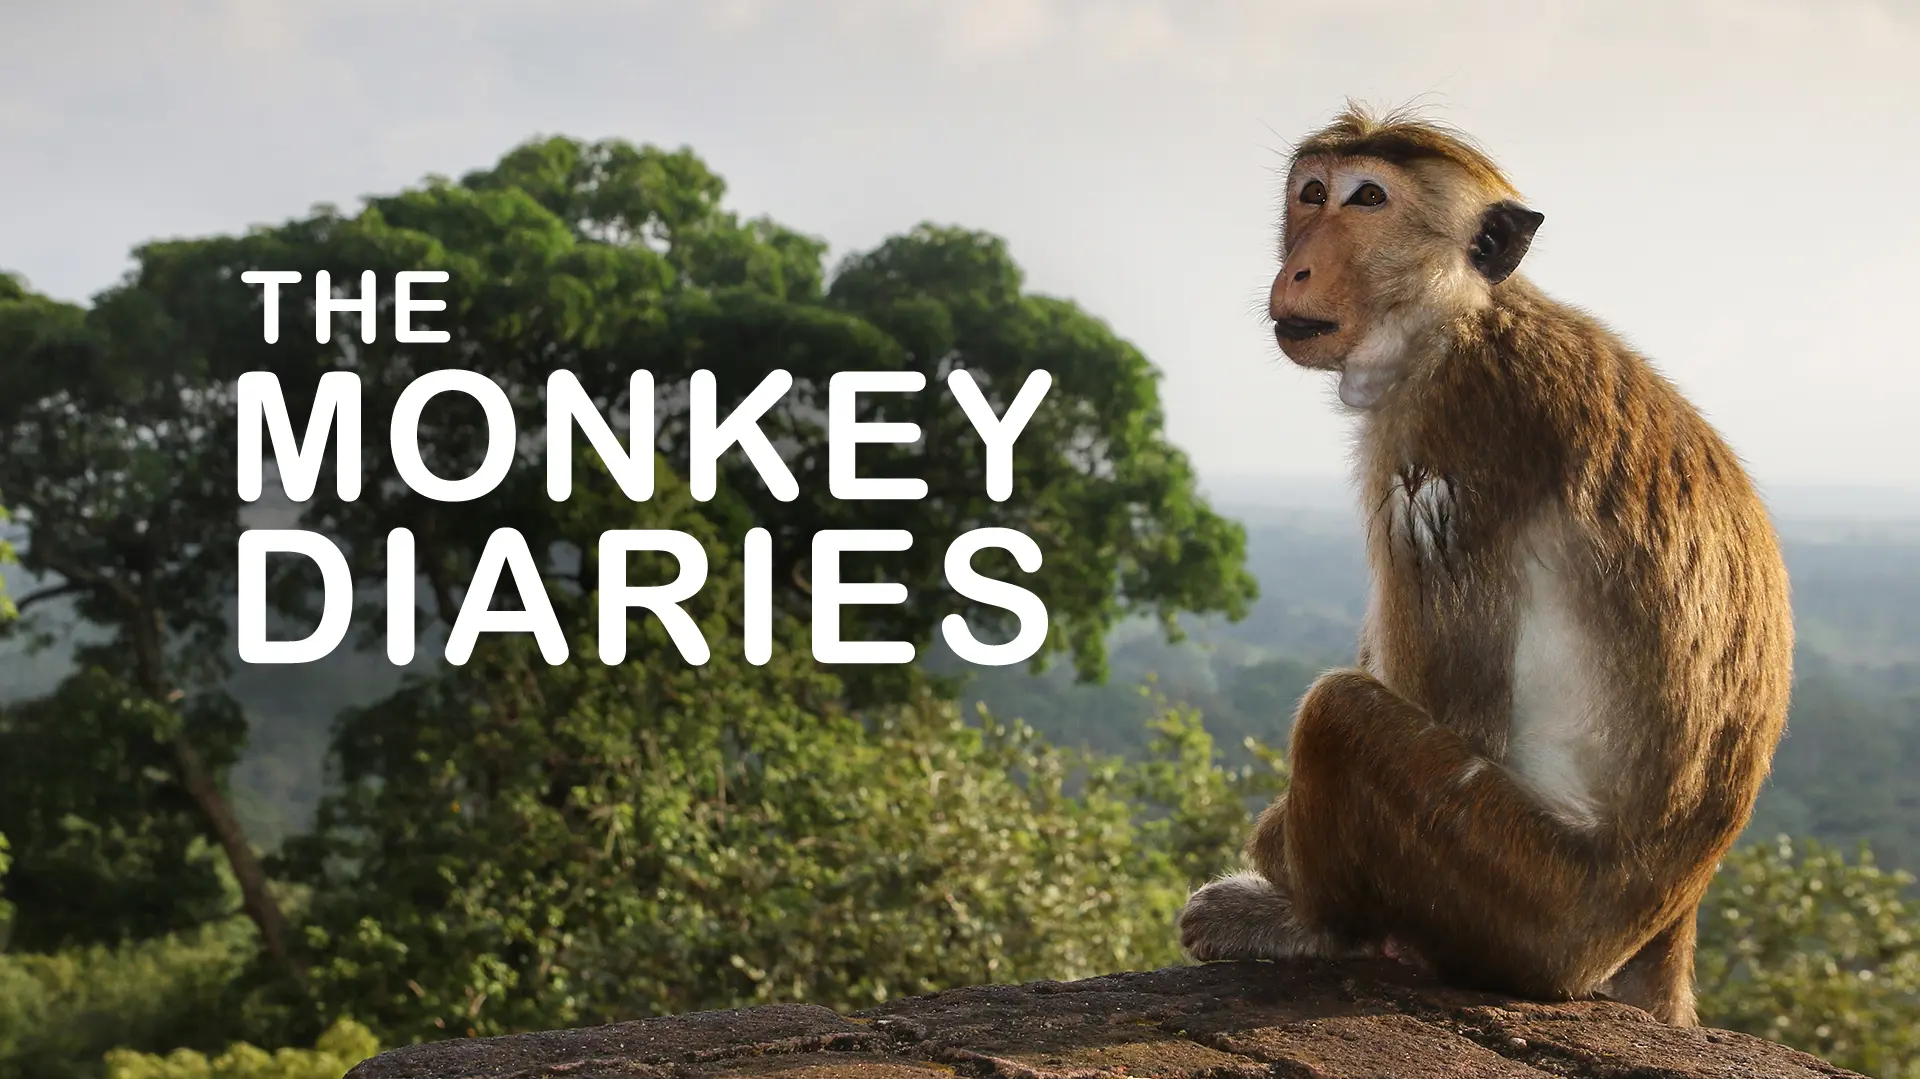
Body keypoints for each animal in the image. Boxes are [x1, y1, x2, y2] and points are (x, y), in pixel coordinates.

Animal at [1176, 104, 1793, 1028]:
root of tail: (1661, 928)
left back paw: (1312, 928)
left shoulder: (1444, 433)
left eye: (1369, 198)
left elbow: (1455, 710)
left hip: (1511, 893)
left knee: (1338, 715)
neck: (1460, 320)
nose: (1299, 263)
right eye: (1311, 192)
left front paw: (1277, 859)